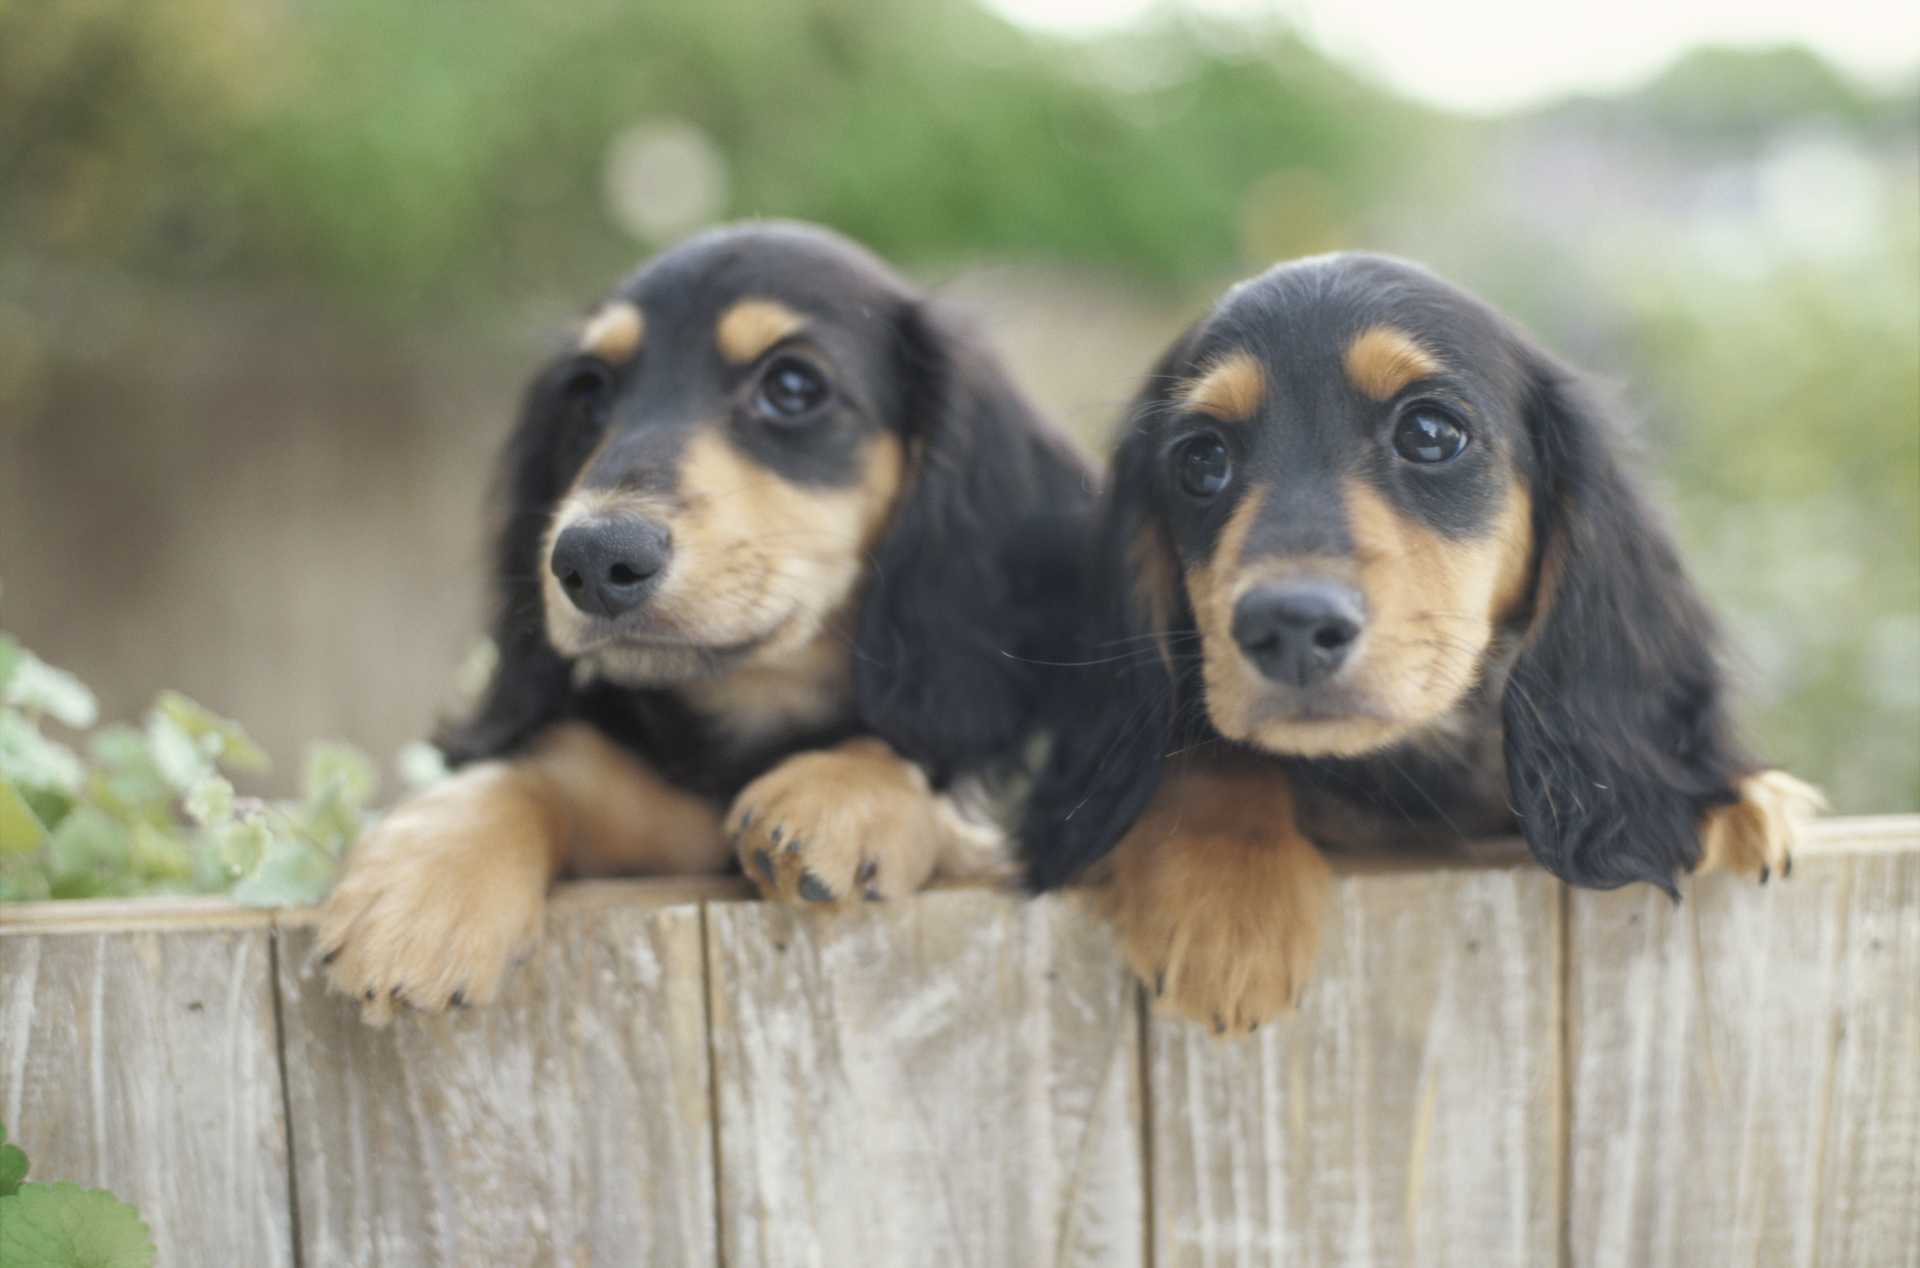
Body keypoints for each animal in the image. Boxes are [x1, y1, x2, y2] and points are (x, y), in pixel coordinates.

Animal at [318, 225, 1098, 1022]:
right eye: (588, 392)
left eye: (793, 387)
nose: (592, 559)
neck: (747, 724)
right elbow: (521, 774)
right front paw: (423, 892)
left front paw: (843, 792)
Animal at [1021, 251, 1812, 1037]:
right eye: (1200, 461)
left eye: (1430, 432)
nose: (1290, 627)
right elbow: (1216, 755)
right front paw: (1226, 903)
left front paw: (1729, 796)